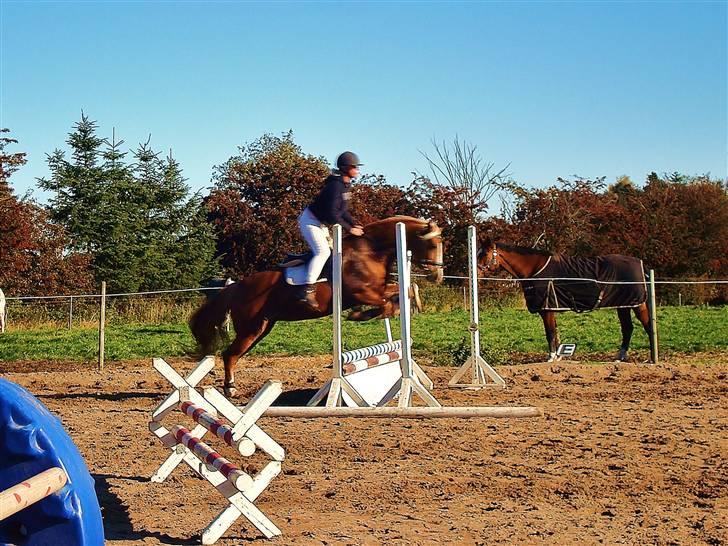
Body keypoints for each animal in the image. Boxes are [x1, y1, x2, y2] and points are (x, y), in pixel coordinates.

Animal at [189, 215, 444, 394]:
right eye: (433, 245)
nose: (437, 276)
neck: (370, 250)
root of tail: (237, 287)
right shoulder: (362, 292)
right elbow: (388, 298)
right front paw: (362, 315)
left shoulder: (377, 288)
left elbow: (404, 289)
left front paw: (404, 305)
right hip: (250, 329)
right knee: (229, 354)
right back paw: (230, 388)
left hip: (262, 328)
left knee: (232, 354)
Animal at [478, 238, 656, 362]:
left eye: (484, 254)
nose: (477, 273)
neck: (535, 269)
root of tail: (641, 265)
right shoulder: (551, 309)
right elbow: (556, 333)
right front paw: (558, 356)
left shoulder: (547, 310)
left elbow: (550, 333)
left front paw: (551, 357)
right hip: (623, 305)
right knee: (628, 328)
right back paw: (620, 356)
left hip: (637, 304)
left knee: (648, 326)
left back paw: (652, 357)